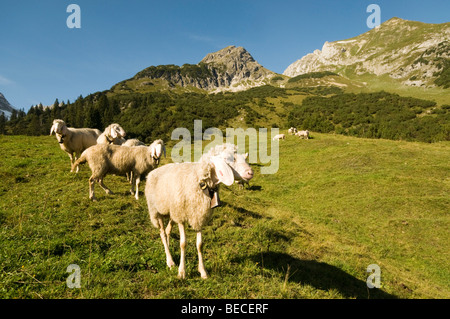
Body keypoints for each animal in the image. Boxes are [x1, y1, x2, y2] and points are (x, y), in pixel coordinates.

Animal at [147, 144, 255, 278]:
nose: (250, 172)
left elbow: (200, 245)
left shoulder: (198, 215)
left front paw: (203, 271)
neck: (200, 180)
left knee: (167, 231)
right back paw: (170, 261)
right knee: (162, 233)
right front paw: (182, 272)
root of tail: (152, 172)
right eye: (227, 158)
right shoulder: (181, 216)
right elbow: (183, 243)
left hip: (172, 212)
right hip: (156, 211)